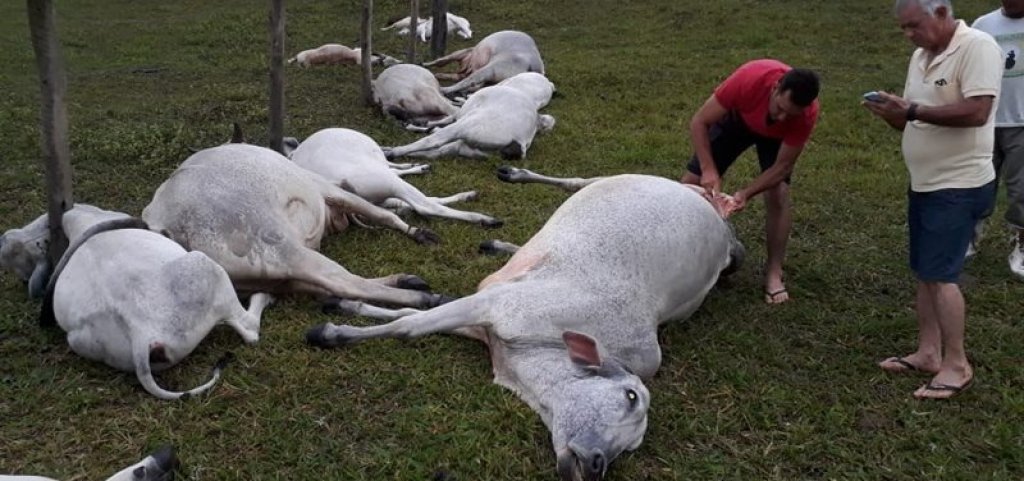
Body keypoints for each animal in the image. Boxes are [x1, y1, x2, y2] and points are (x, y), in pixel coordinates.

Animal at [14, 205, 273, 400]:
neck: (86, 227)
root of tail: (140, 332)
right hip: (206, 268)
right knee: (249, 331)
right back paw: (263, 297)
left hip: (78, 340)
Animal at [141, 143, 449, 309]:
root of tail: (168, 227)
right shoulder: (328, 188)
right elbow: (382, 214)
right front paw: (419, 233)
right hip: (281, 246)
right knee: (343, 282)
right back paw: (423, 297)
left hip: (268, 276)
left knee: (331, 285)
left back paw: (407, 281)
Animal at [306, 174, 745, 481]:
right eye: (630, 396)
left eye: (632, 447)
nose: (597, 464)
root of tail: (714, 213)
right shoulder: (495, 304)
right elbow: (410, 325)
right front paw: (334, 330)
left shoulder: (487, 318)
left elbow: (416, 315)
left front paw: (345, 309)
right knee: (578, 180)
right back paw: (514, 178)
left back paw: (501, 245)